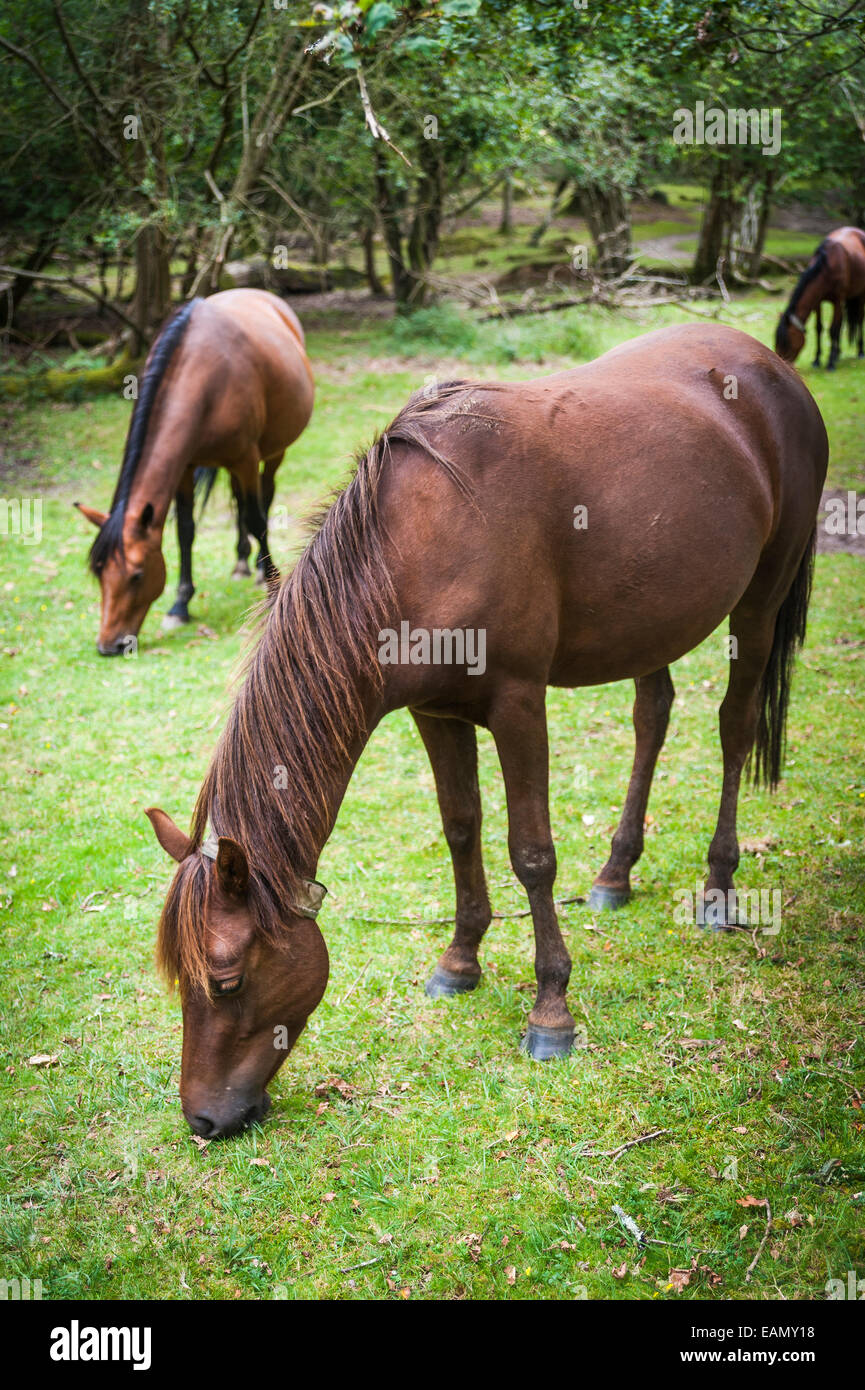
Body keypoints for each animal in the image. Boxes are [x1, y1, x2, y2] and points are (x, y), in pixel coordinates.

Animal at [74, 289, 311, 656]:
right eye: (99, 574)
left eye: (137, 576)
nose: (108, 646)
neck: (203, 379)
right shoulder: (184, 468)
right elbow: (185, 530)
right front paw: (180, 605)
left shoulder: (246, 458)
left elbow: (257, 519)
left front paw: (272, 582)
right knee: (239, 501)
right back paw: (242, 561)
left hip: (273, 452)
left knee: (264, 497)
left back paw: (259, 566)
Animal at [143, 325, 828, 1139]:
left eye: (224, 980)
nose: (202, 1120)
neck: (416, 546)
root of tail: (771, 365)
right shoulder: (434, 713)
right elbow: (461, 828)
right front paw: (460, 960)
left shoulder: (517, 704)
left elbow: (530, 854)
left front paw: (551, 1011)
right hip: (652, 621)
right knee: (651, 715)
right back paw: (615, 872)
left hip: (759, 602)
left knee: (732, 726)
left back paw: (719, 886)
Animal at [778, 222, 865, 366]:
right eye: (777, 342)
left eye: (787, 343)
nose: (781, 361)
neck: (827, 267)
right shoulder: (817, 301)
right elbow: (819, 328)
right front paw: (817, 359)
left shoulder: (837, 301)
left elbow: (833, 329)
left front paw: (830, 362)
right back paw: (838, 353)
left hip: (860, 296)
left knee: (858, 320)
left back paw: (860, 351)